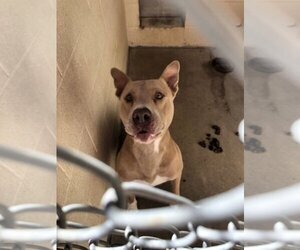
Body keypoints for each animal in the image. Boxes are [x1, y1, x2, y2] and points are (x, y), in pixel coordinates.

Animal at [110, 61, 183, 209]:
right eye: (128, 97)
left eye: (159, 95)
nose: (141, 115)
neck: (148, 150)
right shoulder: (126, 181)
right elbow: (131, 198)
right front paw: (133, 209)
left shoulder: (177, 174)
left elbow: (175, 192)